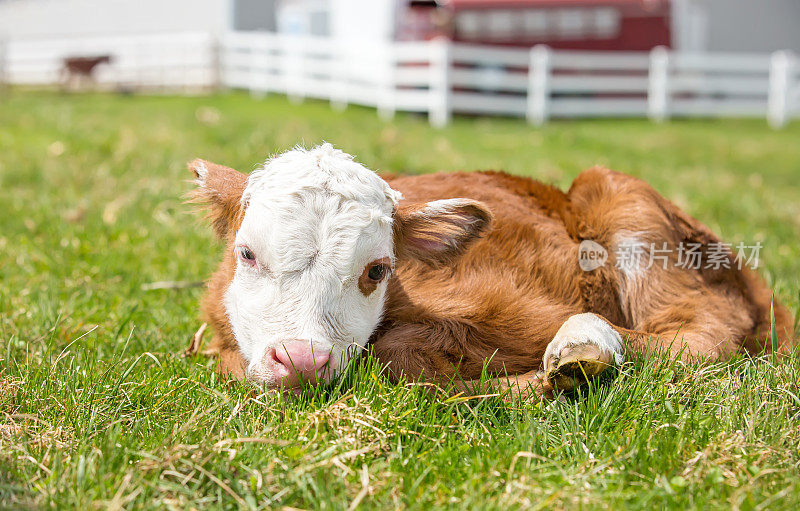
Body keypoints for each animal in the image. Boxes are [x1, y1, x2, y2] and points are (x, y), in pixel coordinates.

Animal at [188, 144, 792, 396]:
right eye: (247, 254)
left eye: (377, 270)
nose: (302, 360)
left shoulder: (515, 307)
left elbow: (397, 354)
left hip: (632, 211)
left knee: (700, 334)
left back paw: (578, 352)